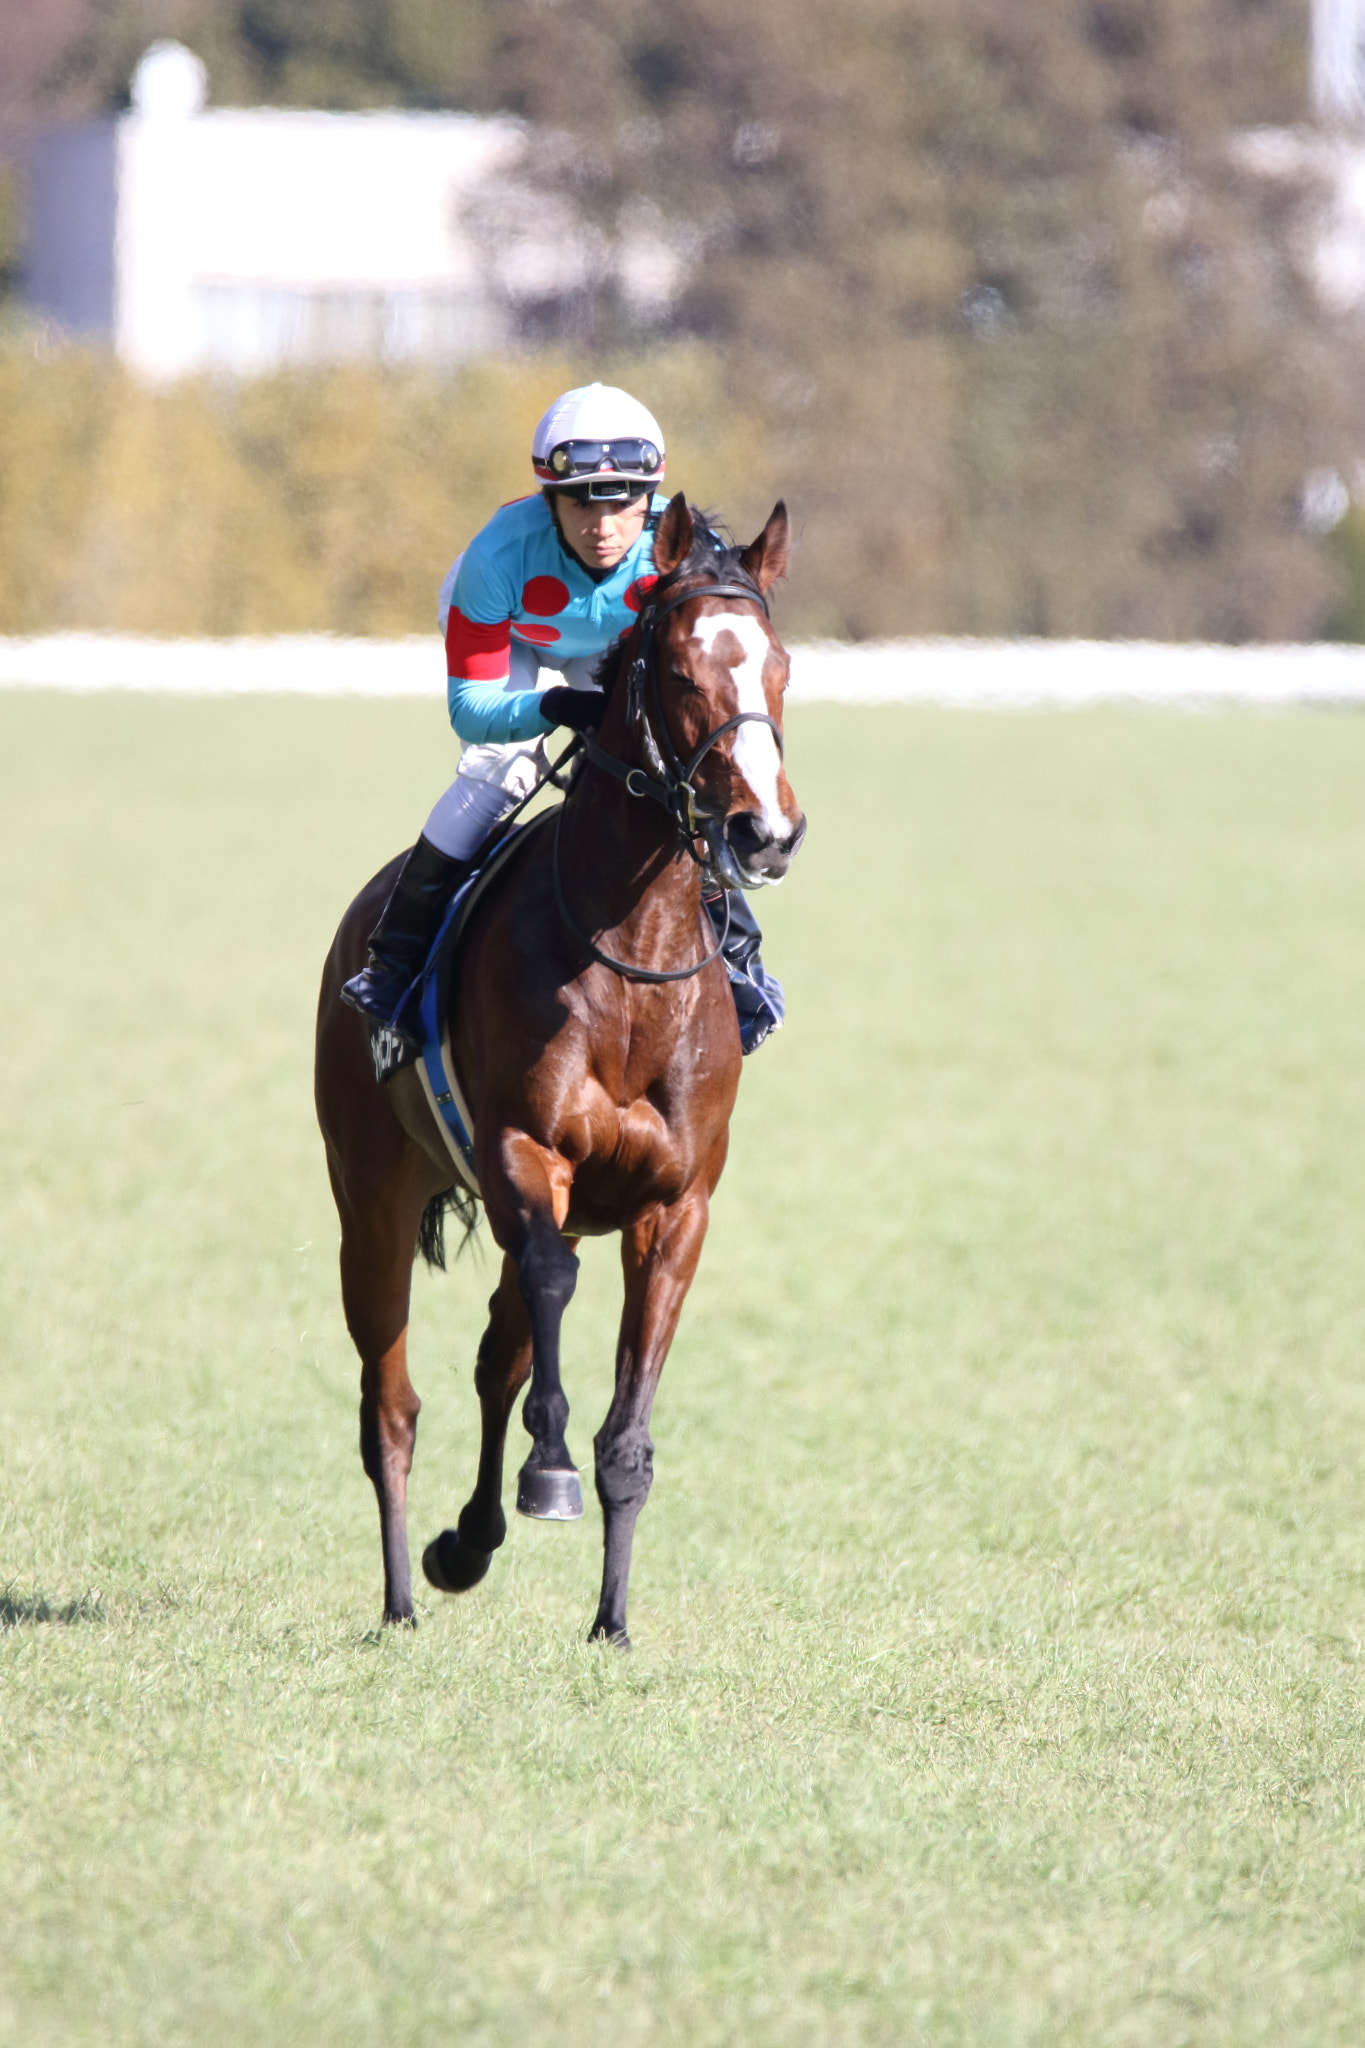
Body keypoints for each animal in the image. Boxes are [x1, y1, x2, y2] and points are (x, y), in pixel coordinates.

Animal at [313, 494, 806, 1644]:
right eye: (680, 671)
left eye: (781, 666)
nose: (766, 831)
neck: (633, 961)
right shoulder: (523, 1153)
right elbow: (547, 1293)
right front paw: (547, 1475)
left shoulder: (674, 1205)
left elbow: (624, 1427)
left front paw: (612, 1620)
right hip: (373, 1199)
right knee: (391, 1403)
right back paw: (403, 1595)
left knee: (496, 1353)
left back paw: (465, 1542)